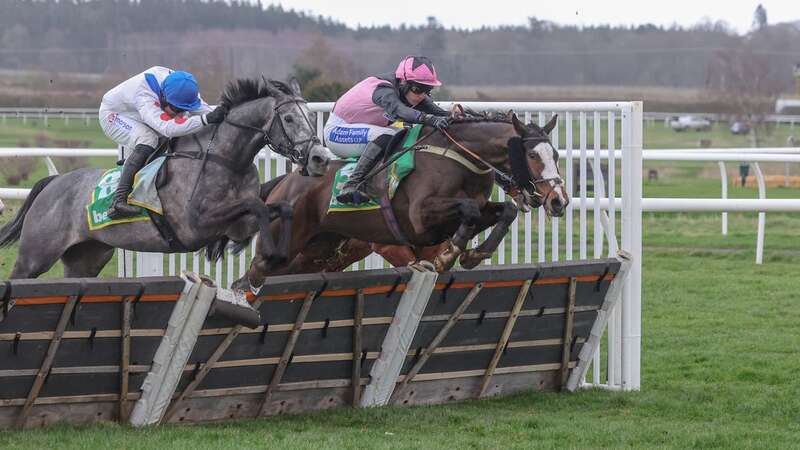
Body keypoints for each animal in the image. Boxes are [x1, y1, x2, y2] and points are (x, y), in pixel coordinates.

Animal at [0, 79, 332, 280]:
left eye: (308, 115)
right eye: (288, 118)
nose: (319, 157)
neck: (225, 159)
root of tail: (53, 182)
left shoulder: (237, 223)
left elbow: (277, 208)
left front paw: (277, 254)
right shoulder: (196, 225)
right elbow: (258, 205)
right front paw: (269, 252)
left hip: (87, 257)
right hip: (35, 256)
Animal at [234, 110, 564, 290]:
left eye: (556, 155)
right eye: (532, 155)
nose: (558, 200)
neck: (457, 155)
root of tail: (285, 182)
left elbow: (504, 211)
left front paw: (474, 253)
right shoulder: (419, 218)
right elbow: (467, 210)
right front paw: (450, 255)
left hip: (318, 251)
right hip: (283, 245)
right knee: (253, 274)